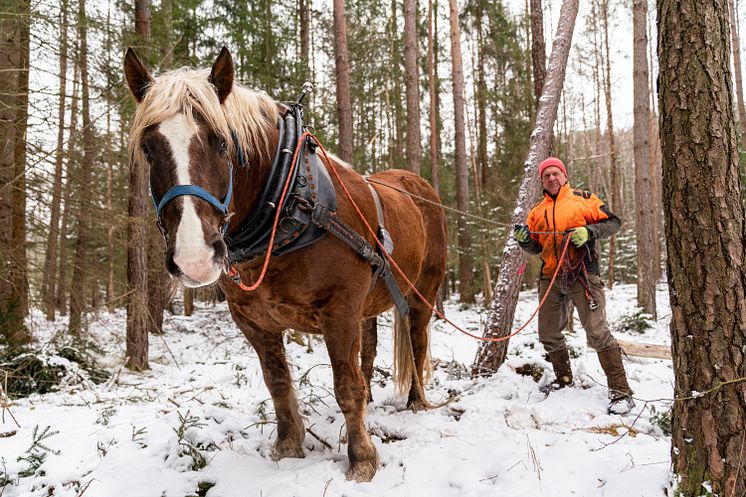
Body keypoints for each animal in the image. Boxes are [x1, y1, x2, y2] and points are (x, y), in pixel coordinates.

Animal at [124, 47, 444, 480]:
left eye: (221, 143)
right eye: (149, 148)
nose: (194, 258)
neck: (290, 202)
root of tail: (418, 185)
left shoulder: (339, 310)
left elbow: (346, 386)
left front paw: (362, 459)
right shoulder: (253, 320)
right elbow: (277, 381)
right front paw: (288, 447)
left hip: (422, 291)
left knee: (417, 340)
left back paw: (416, 401)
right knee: (369, 353)